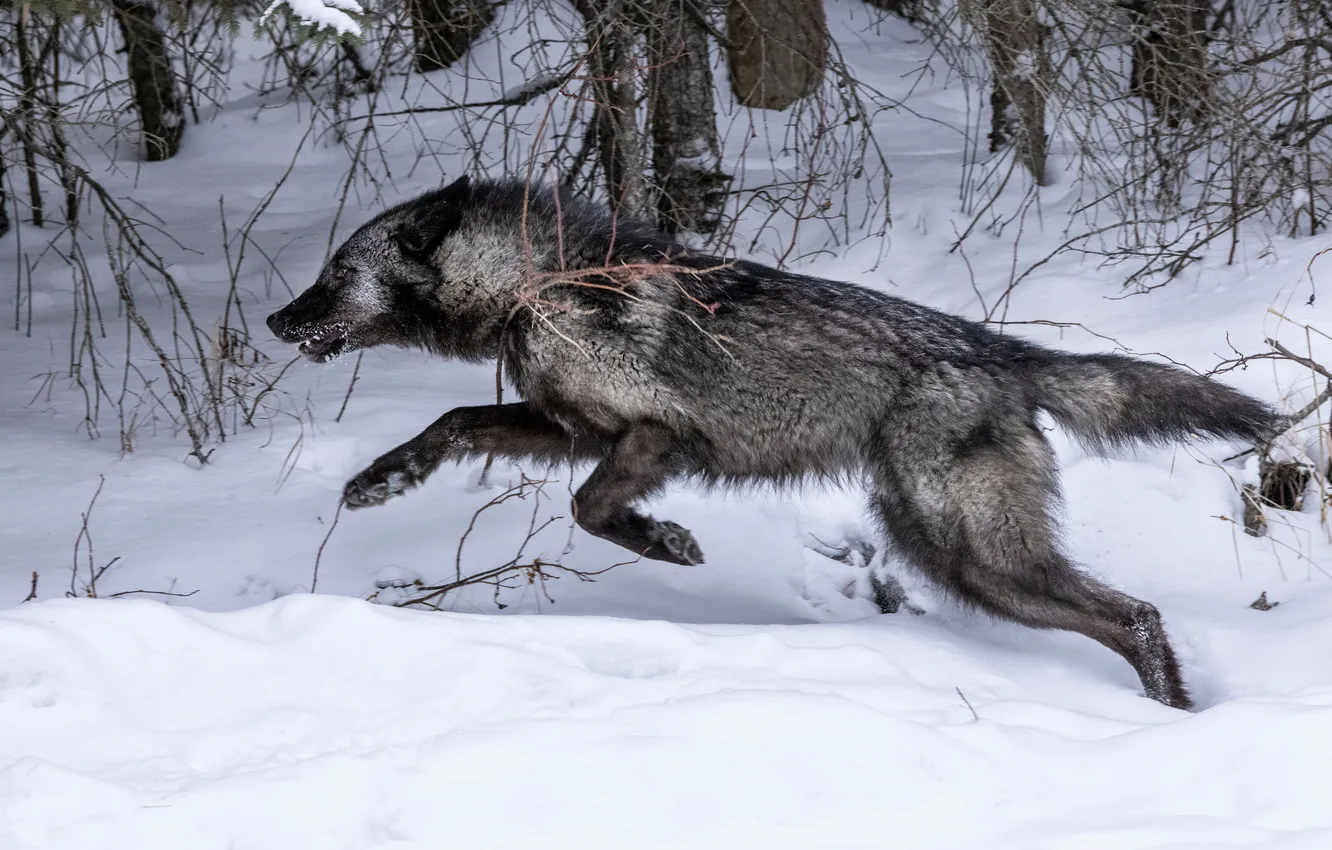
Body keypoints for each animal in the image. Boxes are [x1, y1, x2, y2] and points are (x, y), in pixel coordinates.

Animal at [267, 175, 1276, 710]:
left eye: (335, 273)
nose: (278, 321)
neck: (535, 281)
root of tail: (1003, 352)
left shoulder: (654, 436)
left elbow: (589, 508)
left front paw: (667, 544)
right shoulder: (564, 428)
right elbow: (449, 426)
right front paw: (381, 478)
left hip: (973, 556)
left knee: (1134, 614)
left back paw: (1170, 717)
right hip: (955, 557)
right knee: (1127, 617)